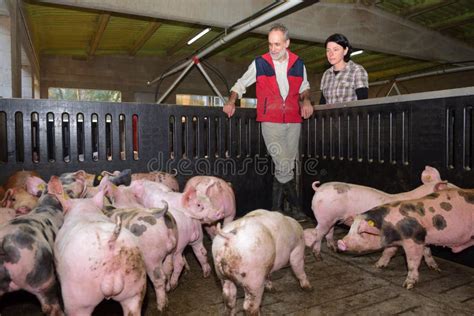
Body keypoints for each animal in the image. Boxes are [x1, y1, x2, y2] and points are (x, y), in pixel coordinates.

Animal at [304, 164, 452, 260]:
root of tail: (319, 189)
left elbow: (426, 249)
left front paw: (435, 268)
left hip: (331, 217)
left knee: (329, 231)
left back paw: (333, 248)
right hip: (325, 216)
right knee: (318, 234)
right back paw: (318, 256)